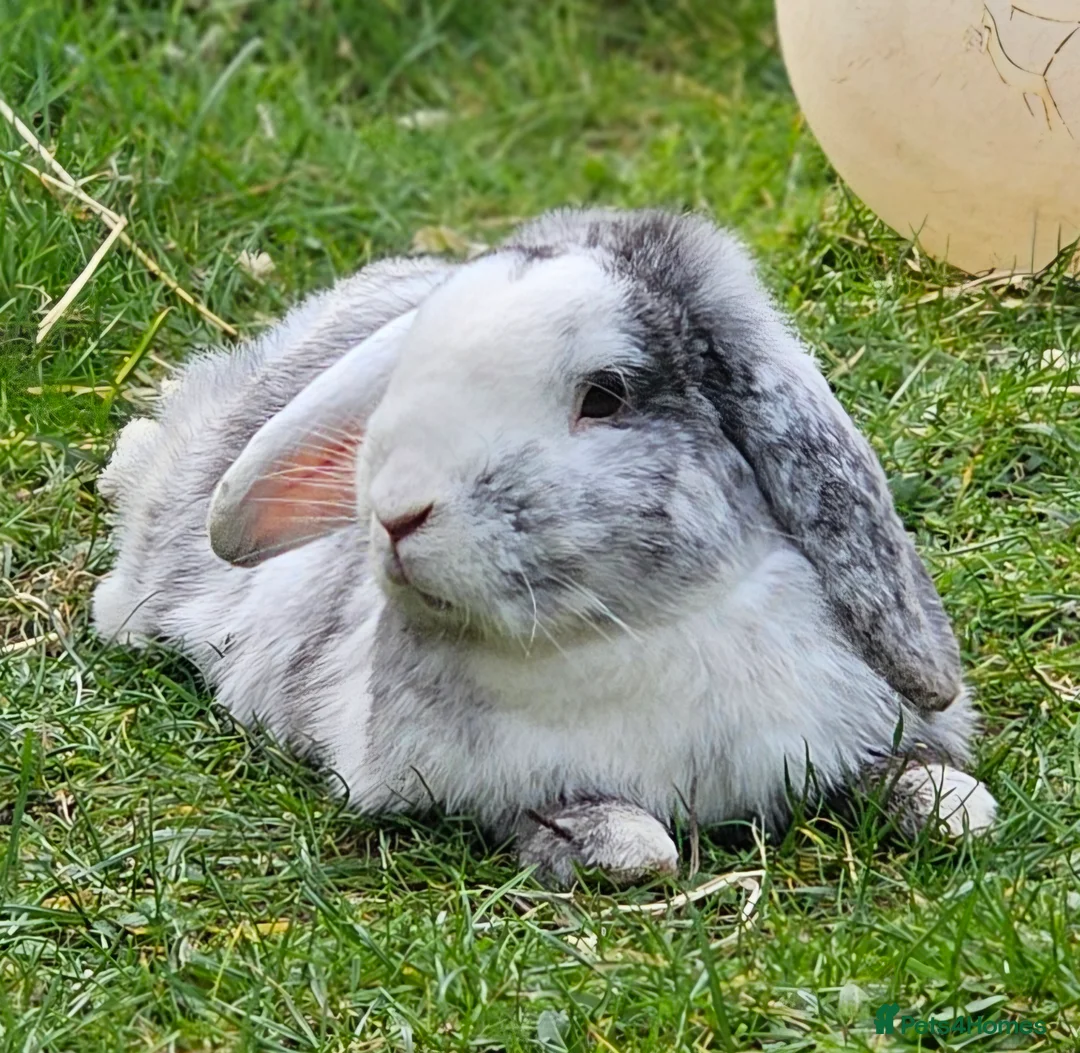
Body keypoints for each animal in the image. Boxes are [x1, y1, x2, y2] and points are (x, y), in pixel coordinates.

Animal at [92, 207, 997, 887]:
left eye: (606, 395)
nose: (393, 513)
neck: (635, 625)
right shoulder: (501, 789)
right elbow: (614, 834)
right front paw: (622, 849)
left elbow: (911, 773)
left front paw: (959, 808)